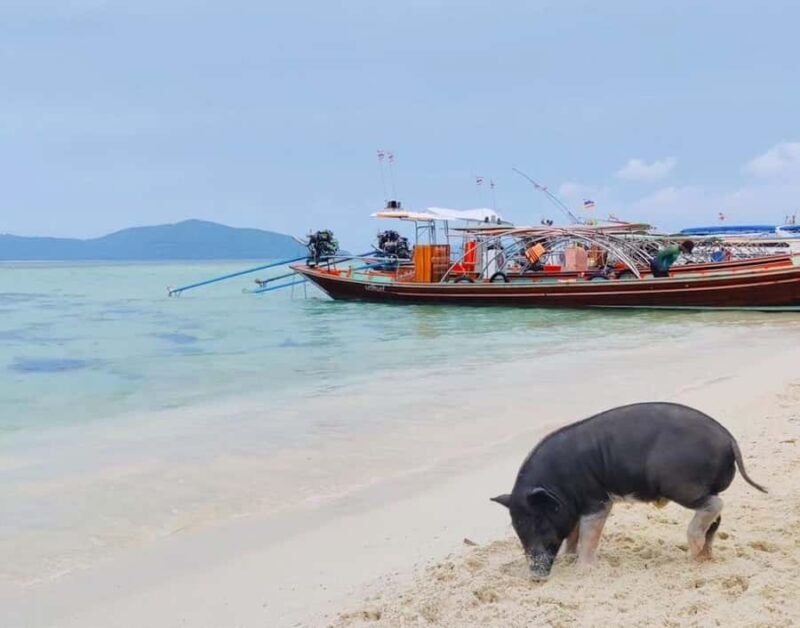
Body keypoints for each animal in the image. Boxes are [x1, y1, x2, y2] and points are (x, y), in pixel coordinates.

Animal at [491, 402, 767, 578]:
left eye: (540, 523)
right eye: (518, 528)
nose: (535, 576)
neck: (558, 485)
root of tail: (728, 438)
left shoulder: (597, 501)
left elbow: (590, 535)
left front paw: (584, 570)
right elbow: (574, 532)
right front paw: (569, 556)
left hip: (680, 484)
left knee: (714, 505)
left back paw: (695, 545)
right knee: (716, 518)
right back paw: (702, 558)